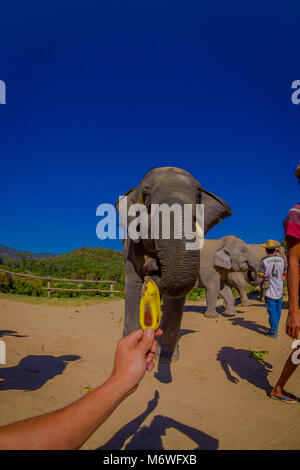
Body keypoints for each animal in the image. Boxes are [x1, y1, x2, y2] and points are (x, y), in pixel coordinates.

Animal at [116, 167, 232, 366]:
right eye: (146, 195)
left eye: (199, 195)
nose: (151, 264)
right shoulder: (130, 248)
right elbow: (133, 283)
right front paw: (132, 347)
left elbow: (177, 295)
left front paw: (166, 358)